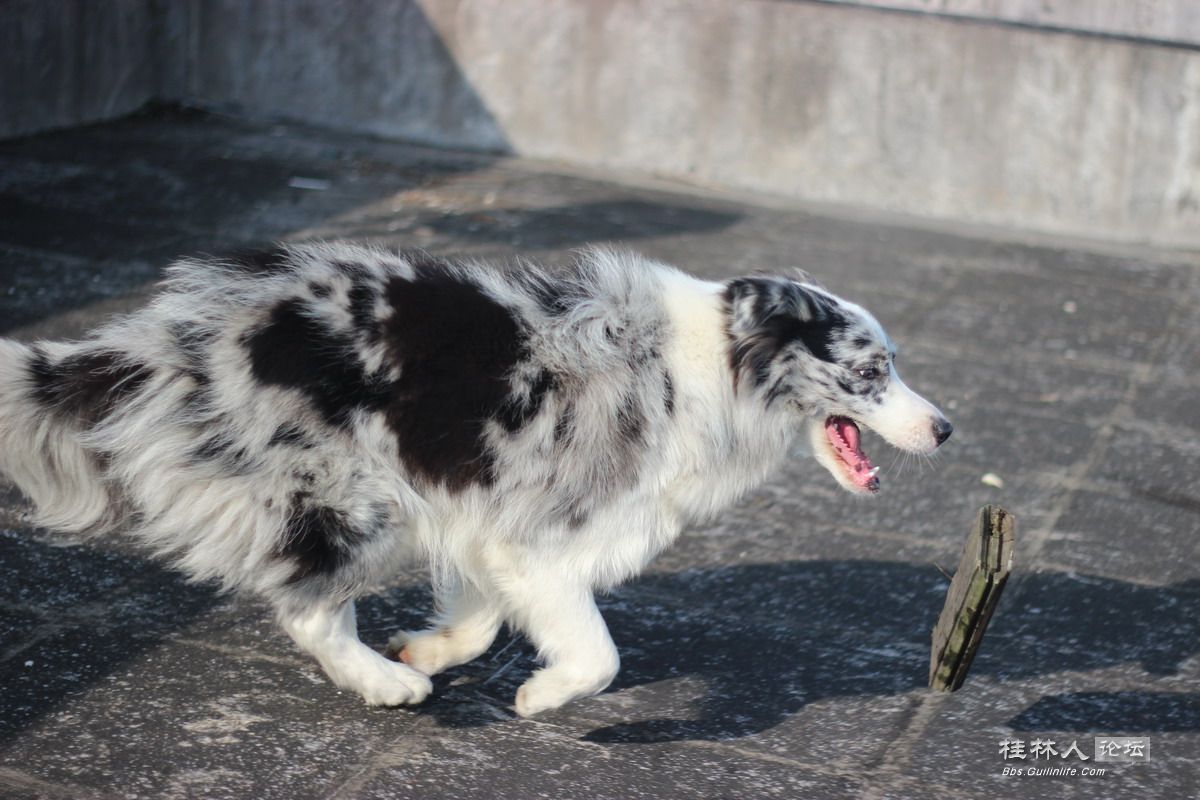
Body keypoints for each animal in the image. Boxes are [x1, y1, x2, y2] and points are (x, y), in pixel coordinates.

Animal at [2, 241, 955, 714]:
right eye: (872, 372)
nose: (946, 428)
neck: (713, 370)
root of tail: (165, 339)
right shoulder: (546, 529)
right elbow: (599, 654)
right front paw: (540, 697)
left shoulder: (493, 514)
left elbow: (484, 614)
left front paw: (435, 645)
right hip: (356, 494)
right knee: (309, 607)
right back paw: (383, 685)